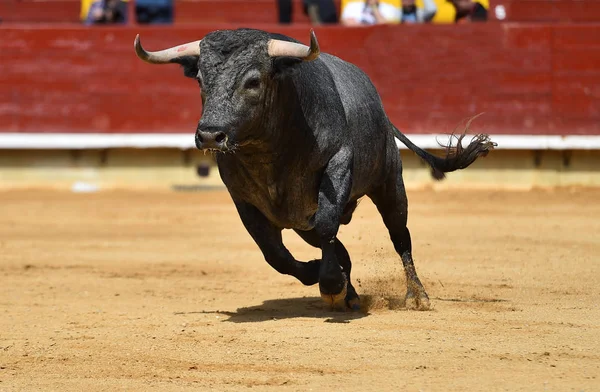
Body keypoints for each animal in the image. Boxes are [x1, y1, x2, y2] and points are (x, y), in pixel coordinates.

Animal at [136, 27, 496, 310]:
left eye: (253, 81)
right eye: (200, 79)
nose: (210, 134)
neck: (268, 153)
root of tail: (382, 111)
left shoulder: (337, 165)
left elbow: (326, 227)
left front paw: (332, 285)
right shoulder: (244, 200)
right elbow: (275, 254)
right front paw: (321, 276)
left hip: (390, 185)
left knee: (399, 237)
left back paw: (416, 296)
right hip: (302, 221)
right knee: (336, 244)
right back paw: (350, 291)